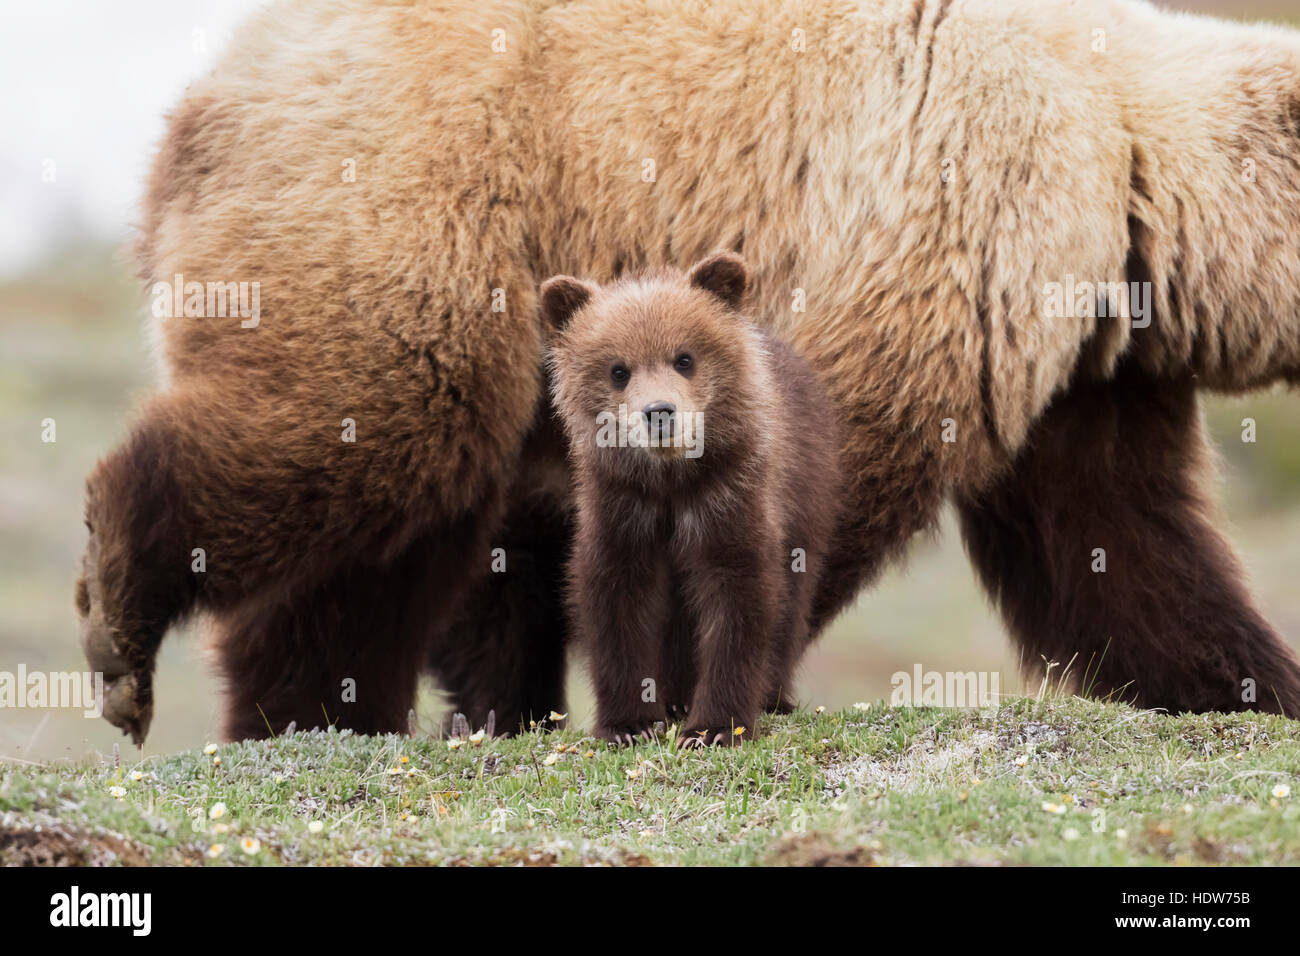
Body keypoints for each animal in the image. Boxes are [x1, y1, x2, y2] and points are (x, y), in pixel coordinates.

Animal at [542, 252, 841, 746]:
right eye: (618, 370)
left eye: (685, 358)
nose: (659, 412)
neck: (672, 482)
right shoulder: (621, 506)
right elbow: (616, 600)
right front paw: (630, 723)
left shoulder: (730, 497)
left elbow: (738, 599)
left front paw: (715, 726)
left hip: (808, 493)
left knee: (794, 598)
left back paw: (771, 694)